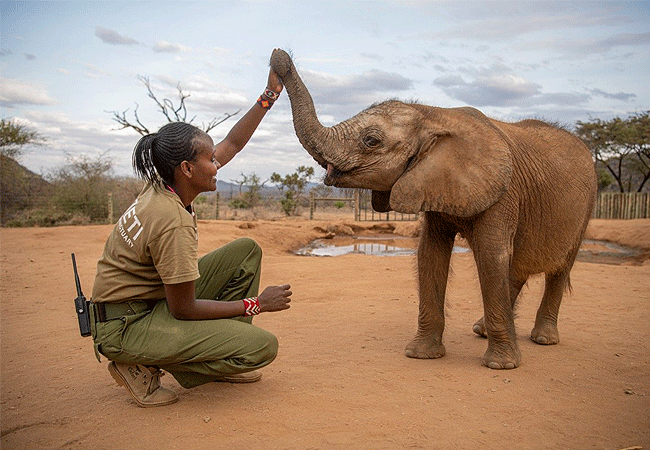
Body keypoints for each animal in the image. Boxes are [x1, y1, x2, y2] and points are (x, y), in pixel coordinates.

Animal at [270, 49, 597, 369]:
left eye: (371, 141)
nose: (278, 56)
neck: (432, 113)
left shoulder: (504, 192)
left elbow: (491, 256)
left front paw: (501, 365)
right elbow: (430, 253)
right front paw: (421, 354)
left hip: (587, 204)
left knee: (557, 267)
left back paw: (542, 339)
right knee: (517, 266)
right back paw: (482, 330)